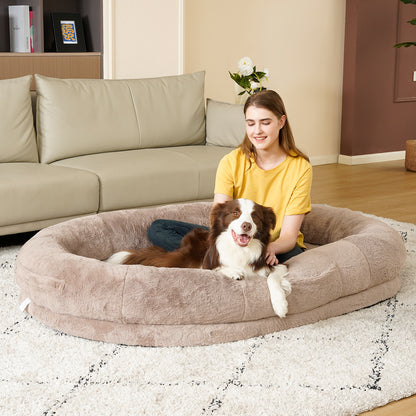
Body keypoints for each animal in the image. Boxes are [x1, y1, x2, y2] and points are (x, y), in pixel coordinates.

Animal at [107, 200, 292, 316]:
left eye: (255, 217)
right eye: (235, 213)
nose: (246, 225)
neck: (240, 250)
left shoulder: (274, 264)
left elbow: (272, 278)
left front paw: (280, 305)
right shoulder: (209, 262)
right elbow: (217, 268)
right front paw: (233, 272)